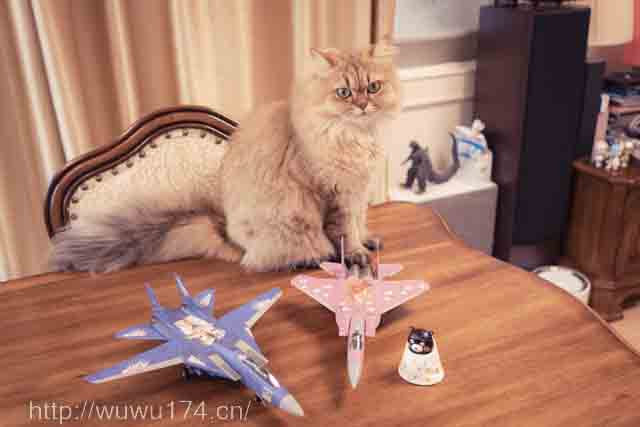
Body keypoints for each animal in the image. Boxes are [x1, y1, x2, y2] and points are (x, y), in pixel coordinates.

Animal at [50, 44, 401, 273]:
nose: (362, 106)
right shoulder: (335, 192)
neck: (356, 137)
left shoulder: (358, 192)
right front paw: (355, 255)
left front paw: (367, 242)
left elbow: (359, 222)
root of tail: (227, 233)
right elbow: (344, 231)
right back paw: (311, 258)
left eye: (373, 87)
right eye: (344, 93)